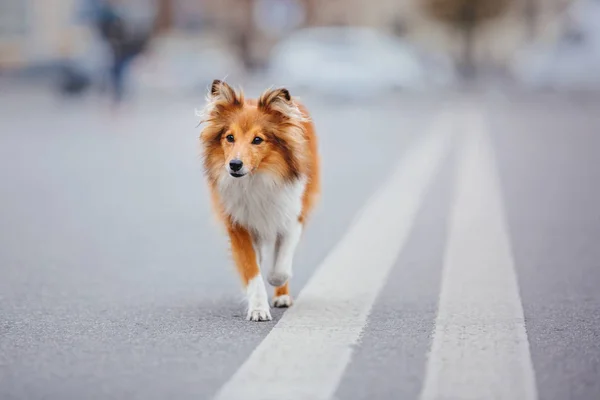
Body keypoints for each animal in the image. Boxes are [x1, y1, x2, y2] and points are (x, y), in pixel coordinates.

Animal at [198, 79, 322, 320]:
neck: (256, 180)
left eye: (258, 140)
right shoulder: (238, 225)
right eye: (229, 137)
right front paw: (257, 308)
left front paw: (275, 281)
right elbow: (251, 269)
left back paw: (282, 296)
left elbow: (280, 267)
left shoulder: (292, 217)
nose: (234, 165)